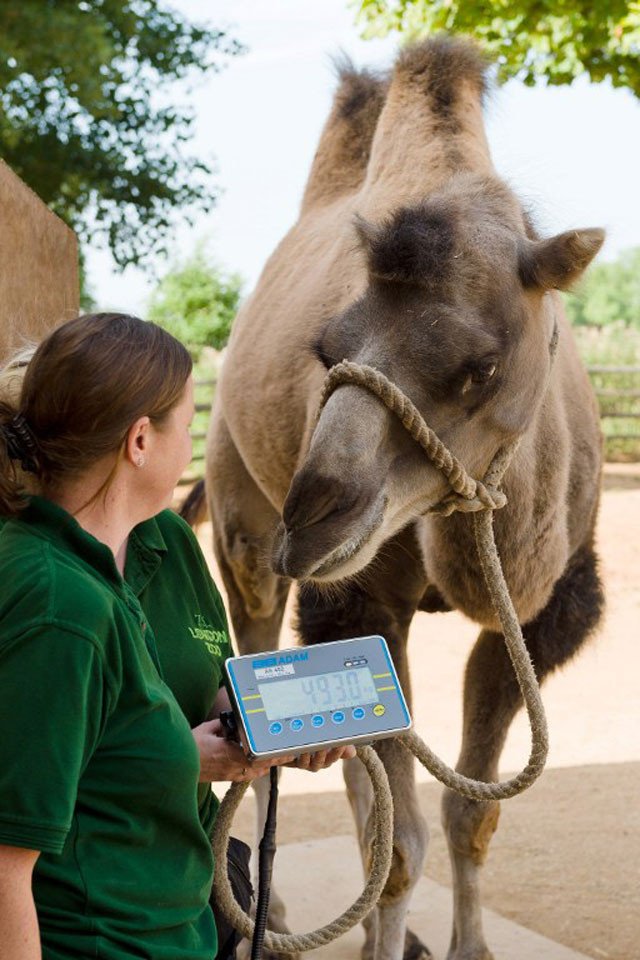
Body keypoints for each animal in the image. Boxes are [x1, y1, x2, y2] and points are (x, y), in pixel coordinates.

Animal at [191, 35, 604, 960]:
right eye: (326, 349)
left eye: (482, 366)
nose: (312, 516)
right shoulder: (360, 602)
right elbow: (399, 846)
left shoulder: (533, 613)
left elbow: (469, 814)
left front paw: (467, 947)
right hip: (239, 509)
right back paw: (271, 911)